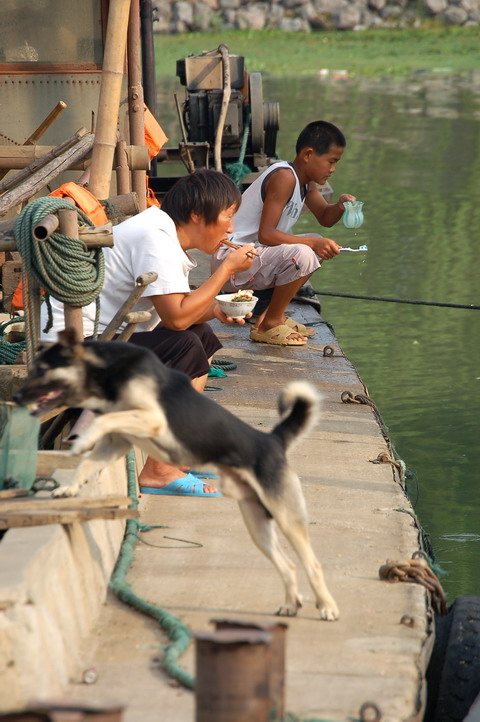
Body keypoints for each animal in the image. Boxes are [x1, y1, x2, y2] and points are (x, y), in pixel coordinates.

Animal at [14, 330, 338, 616]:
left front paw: (82, 440)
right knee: (289, 564)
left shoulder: (151, 420)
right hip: (257, 524)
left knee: (313, 564)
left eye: (42, 370)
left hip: (286, 518)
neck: (107, 372)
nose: (16, 398)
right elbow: (88, 462)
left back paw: (327, 607)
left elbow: (102, 423)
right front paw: (68, 489)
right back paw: (290, 604)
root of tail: (272, 441)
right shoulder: (118, 441)